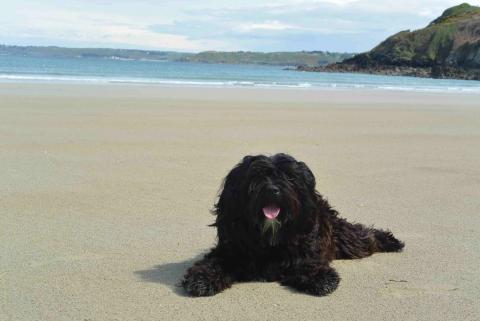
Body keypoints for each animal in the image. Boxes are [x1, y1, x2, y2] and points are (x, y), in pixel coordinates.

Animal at [182, 152, 404, 296]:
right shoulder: (231, 249)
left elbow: (307, 262)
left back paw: (390, 241)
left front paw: (320, 278)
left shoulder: (306, 247)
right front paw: (202, 279)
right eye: (256, 177)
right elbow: (214, 262)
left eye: (289, 177)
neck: (269, 236)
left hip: (346, 238)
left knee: (364, 236)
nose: (273, 190)